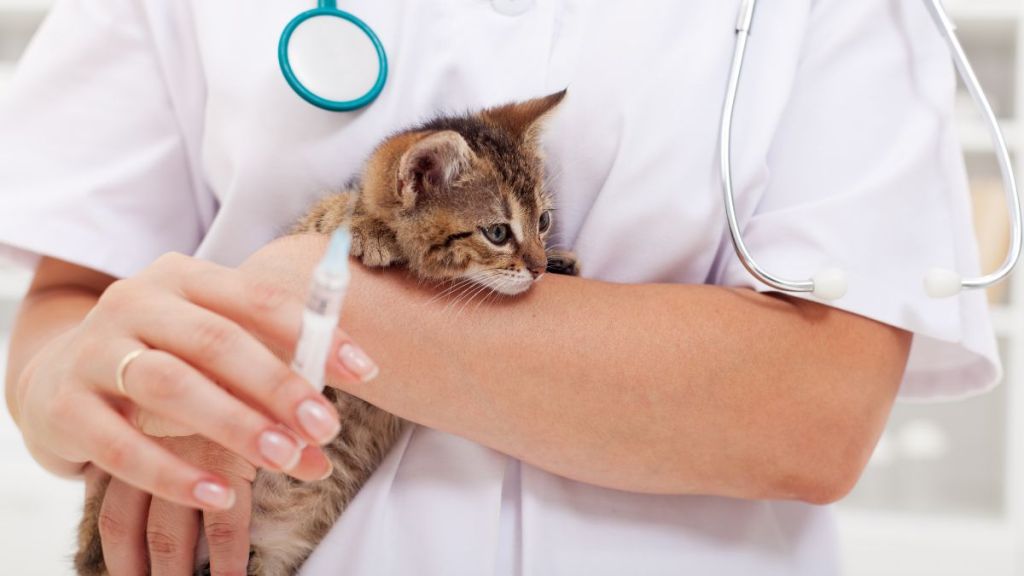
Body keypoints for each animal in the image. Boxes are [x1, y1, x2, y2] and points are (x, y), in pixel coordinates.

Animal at [74, 91, 577, 573]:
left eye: (543, 222)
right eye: (497, 233)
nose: (537, 269)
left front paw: (563, 261)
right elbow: (330, 217)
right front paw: (367, 229)